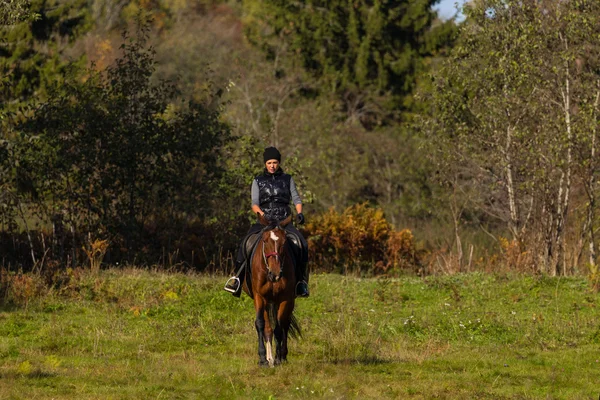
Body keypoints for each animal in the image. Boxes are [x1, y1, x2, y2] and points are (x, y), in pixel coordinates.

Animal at [243, 214, 302, 368]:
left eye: (284, 242)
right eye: (265, 240)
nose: (275, 274)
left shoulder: (285, 299)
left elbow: (279, 328)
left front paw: (278, 358)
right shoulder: (259, 296)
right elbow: (260, 324)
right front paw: (263, 358)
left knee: (285, 324)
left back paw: (282, 356)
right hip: (267, 301)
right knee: (268, 327)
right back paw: (269, 358)